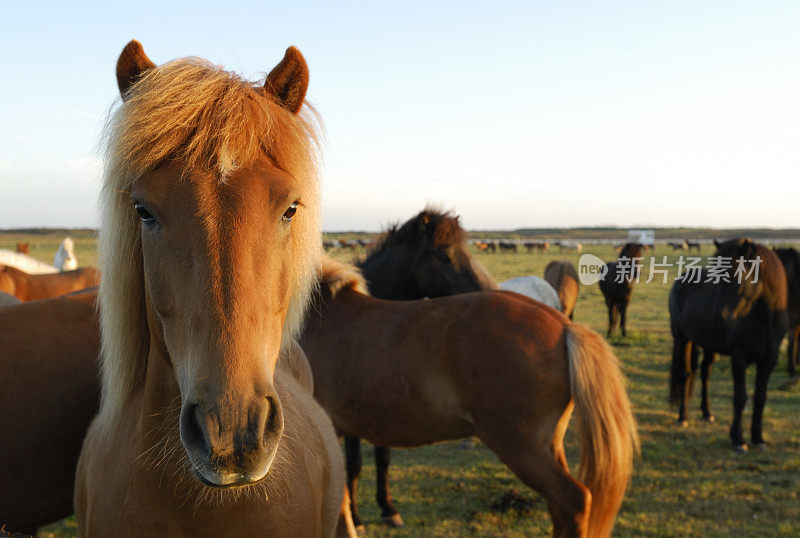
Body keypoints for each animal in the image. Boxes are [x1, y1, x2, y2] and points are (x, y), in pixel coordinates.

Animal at [346, 206, 490, 528]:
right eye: (443, 255)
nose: (486, 290)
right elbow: (353, 462)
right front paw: (356, 518)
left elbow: (383, 456)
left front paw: (388, 508)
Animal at [668, 238, 788, 448]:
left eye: (738, 277)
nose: (720, 318)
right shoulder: (739, 357)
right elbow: (740, 397)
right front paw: (738, 440)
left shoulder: (768, 360)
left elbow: (760, 397)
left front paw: (758, 439)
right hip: (682, 339)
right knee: (686, 374)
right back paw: (683, 417)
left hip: (708, 346)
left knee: (704, 373)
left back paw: (707, 413)